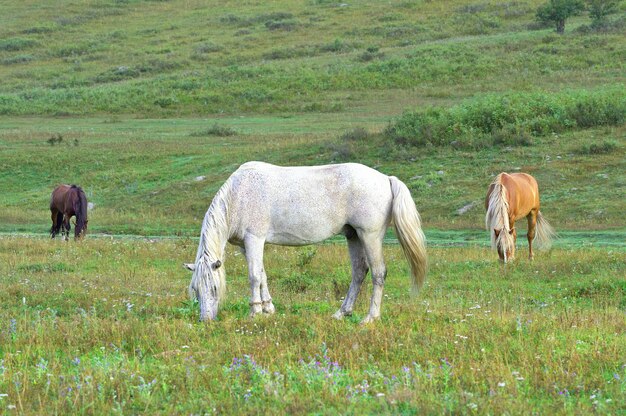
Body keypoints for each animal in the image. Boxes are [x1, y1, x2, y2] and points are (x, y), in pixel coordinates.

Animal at [183, 161, 426, 324]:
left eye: (215, 288)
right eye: (195, 289)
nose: (206, 320)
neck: (238, 195)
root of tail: (386, 178)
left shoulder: (255, 239)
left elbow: (253, 276)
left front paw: (255, 312)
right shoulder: (246, 246)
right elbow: (262, 274)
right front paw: (269, 308)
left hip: (370, 235)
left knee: (378, 273)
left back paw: (370, 317)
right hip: (354, 236)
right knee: (359, 272)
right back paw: (341, 313)